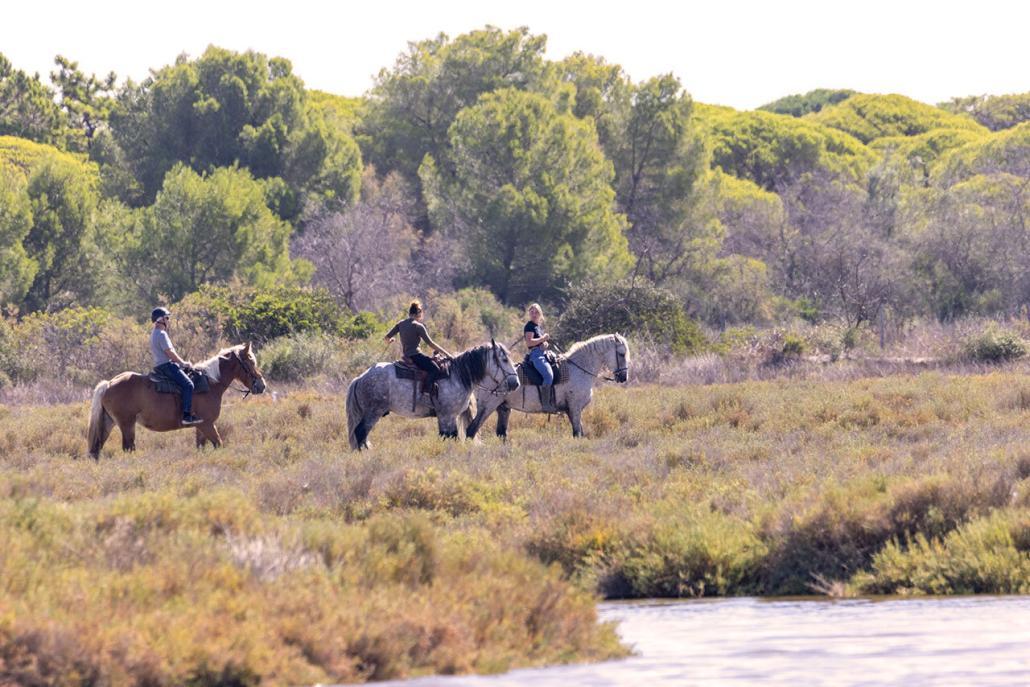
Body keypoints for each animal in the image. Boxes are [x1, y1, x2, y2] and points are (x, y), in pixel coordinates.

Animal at [87, 341, 265, 459]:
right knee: (128, 448)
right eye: (249, 362)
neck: (210, 383)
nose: (261, 385)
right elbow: (219, 444)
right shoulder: (207, 424)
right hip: (126, 424)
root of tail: (109, 384)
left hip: (109, 422)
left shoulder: (201, 426)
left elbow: (201, 447)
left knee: (97, 449)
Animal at [346, 339, 519, 451]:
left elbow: (450, 436)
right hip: (373, 413)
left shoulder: (449, 417)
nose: (515, 383)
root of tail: (360, 378)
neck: (457, 375)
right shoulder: (446, 415)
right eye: (504, 359)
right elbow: (449, 437)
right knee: (360, 433)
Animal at [467, 333, 626, 440]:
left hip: (503, 408)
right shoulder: (575, 408)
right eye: (621, 354)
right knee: (471, 430)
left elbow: (580, 432)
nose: (623, 377)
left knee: (501, 433)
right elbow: (577, 433)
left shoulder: (571, 410)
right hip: (487, 407)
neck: (578, 368)